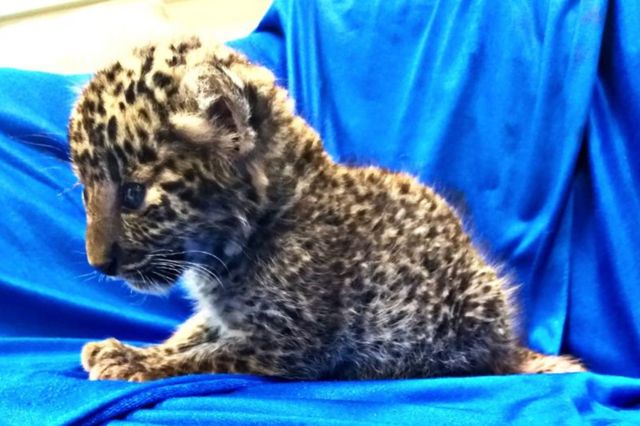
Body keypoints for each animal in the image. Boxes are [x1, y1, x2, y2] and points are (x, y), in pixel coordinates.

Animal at [68, 37, 585, 382]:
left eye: (133, 194)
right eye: (85, 190)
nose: (98, 263)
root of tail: (508, 345)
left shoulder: (288, 342)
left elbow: (205, 355)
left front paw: (133, 361)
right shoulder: (224, 318)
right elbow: (192, 331)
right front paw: (131, 347)